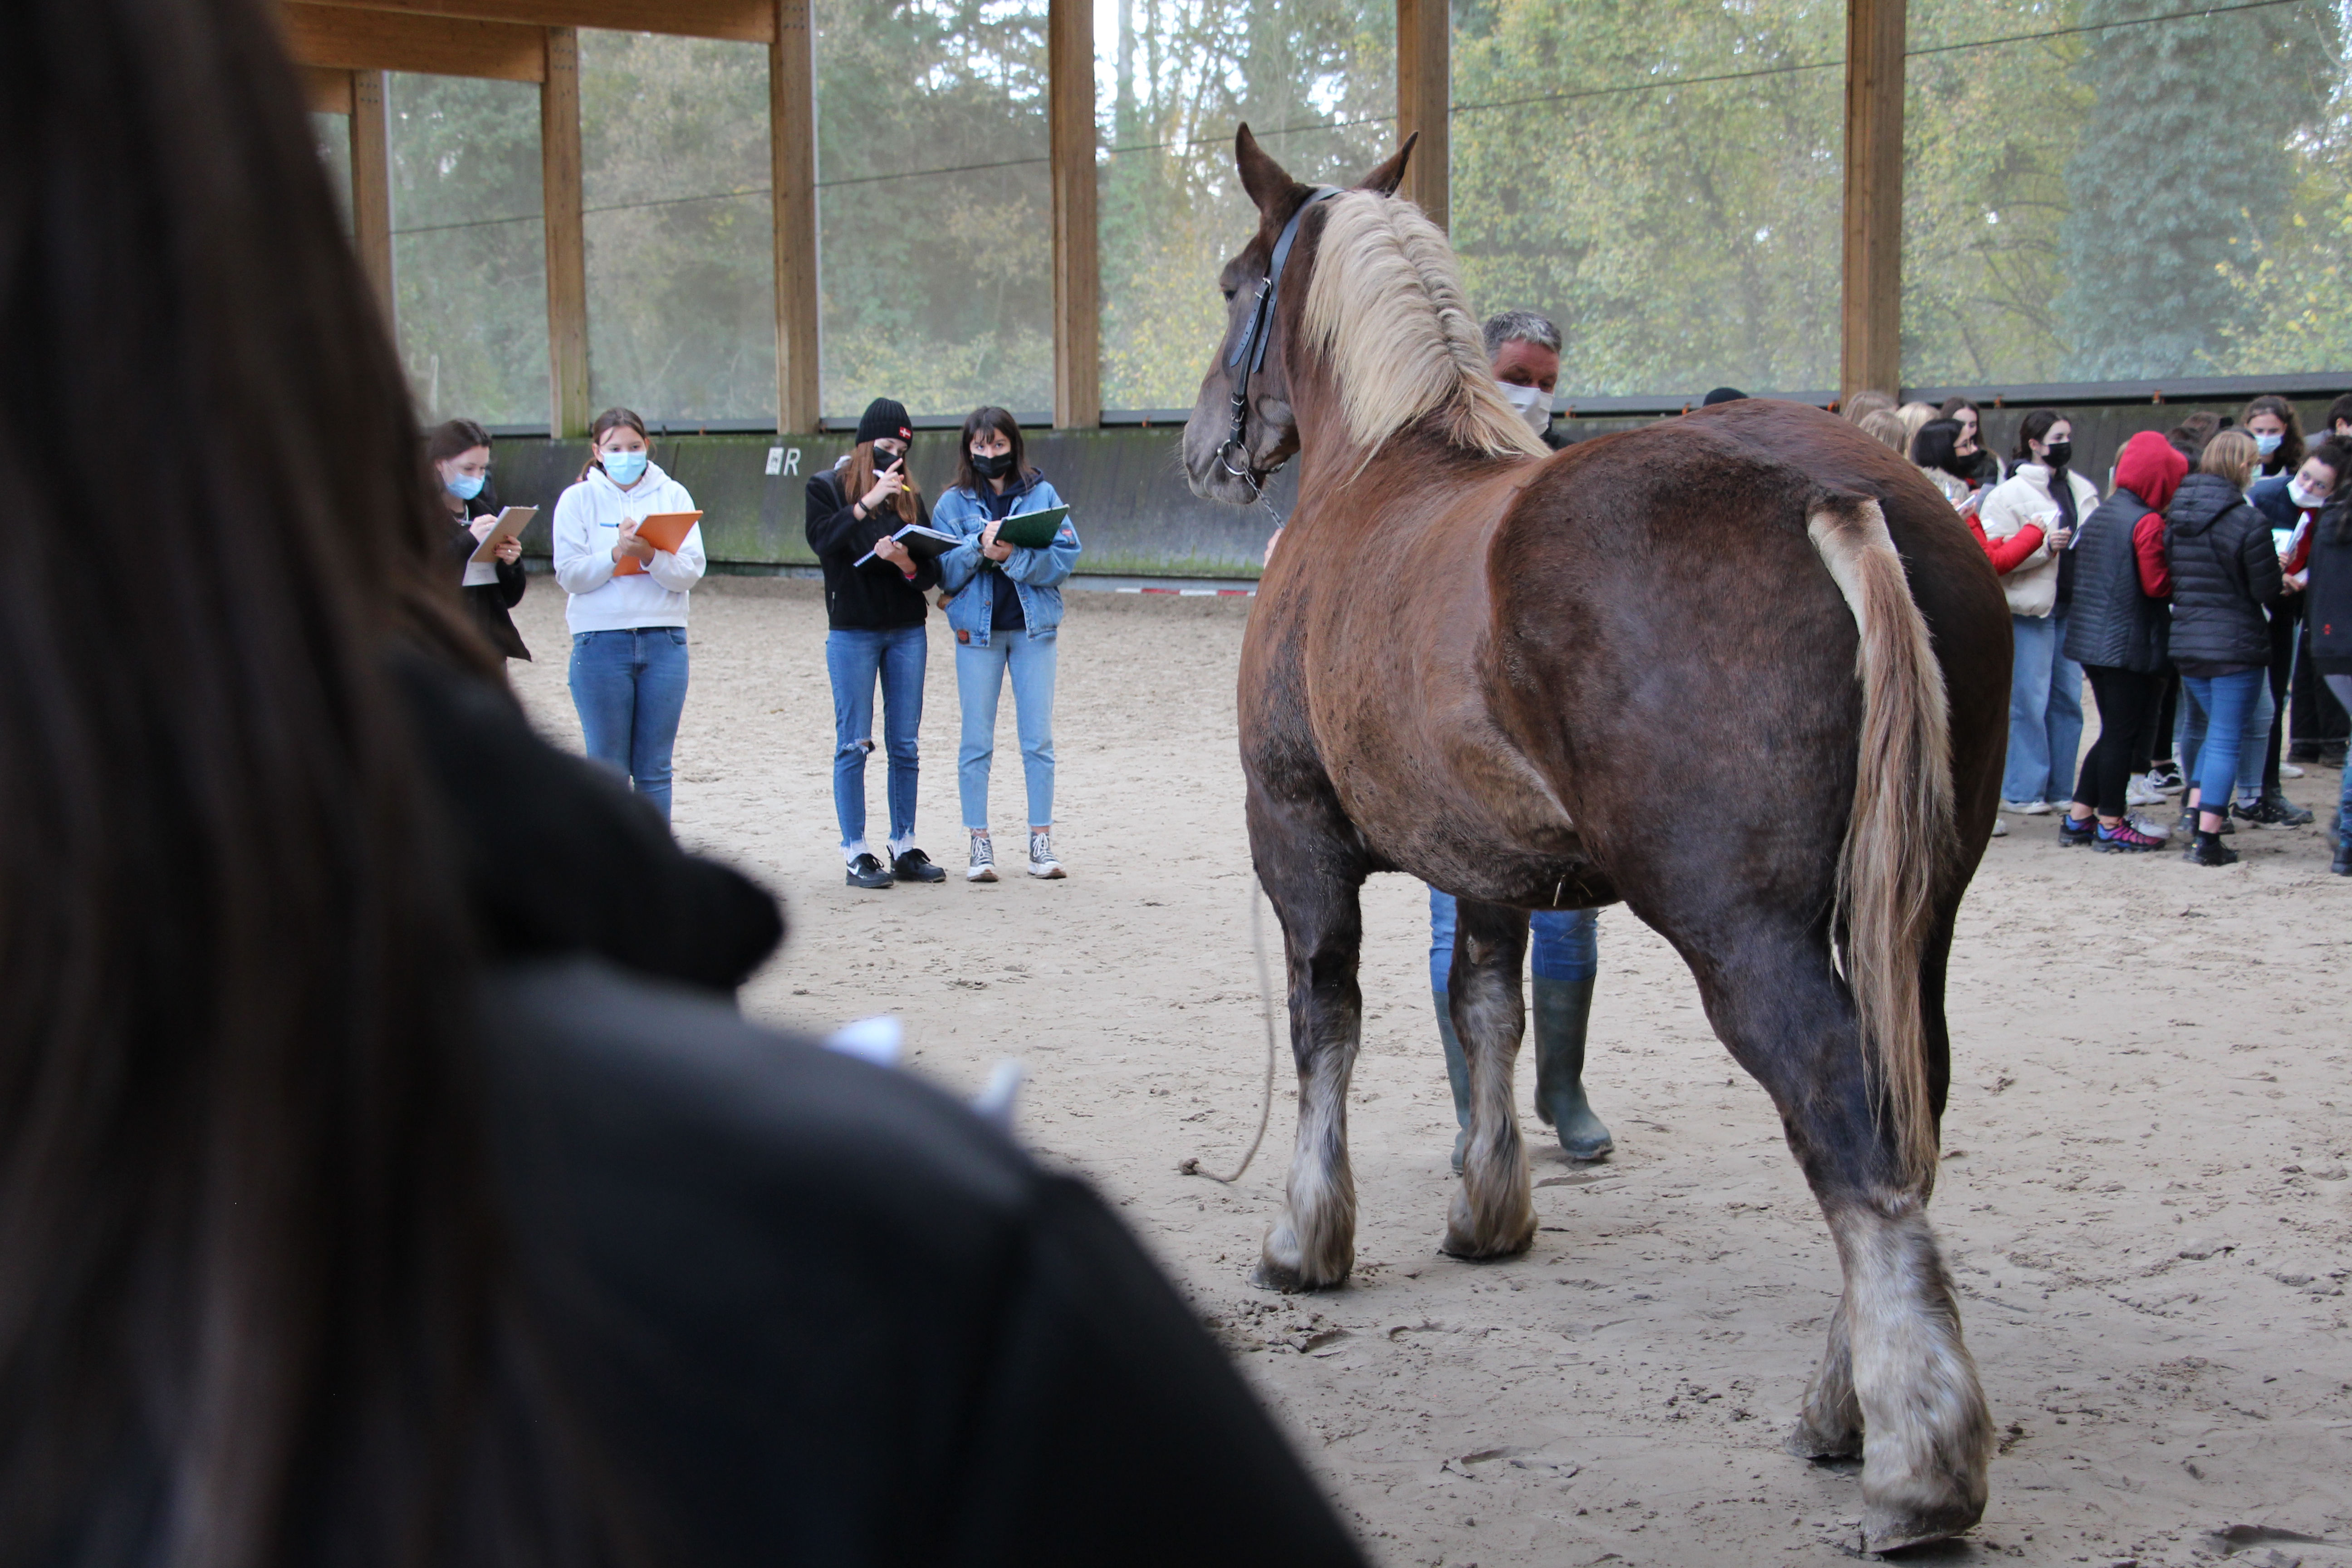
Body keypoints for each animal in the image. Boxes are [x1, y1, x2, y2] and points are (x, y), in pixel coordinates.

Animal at [1185, 128, 2013, 1551]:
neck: (1383, 467)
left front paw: (1307, 1240)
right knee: (1909, 1112)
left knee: (1845, 1120)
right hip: (1918, 921)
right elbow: (1488, 1013)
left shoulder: (1296, 840)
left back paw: (1918, 1457)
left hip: (1747, 937)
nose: (1198, 446)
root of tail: (1840, 490)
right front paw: (1488, 1209)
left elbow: (1325, 1025)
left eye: (1241, 283)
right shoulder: (1487, 865)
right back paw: (1843, 1401)